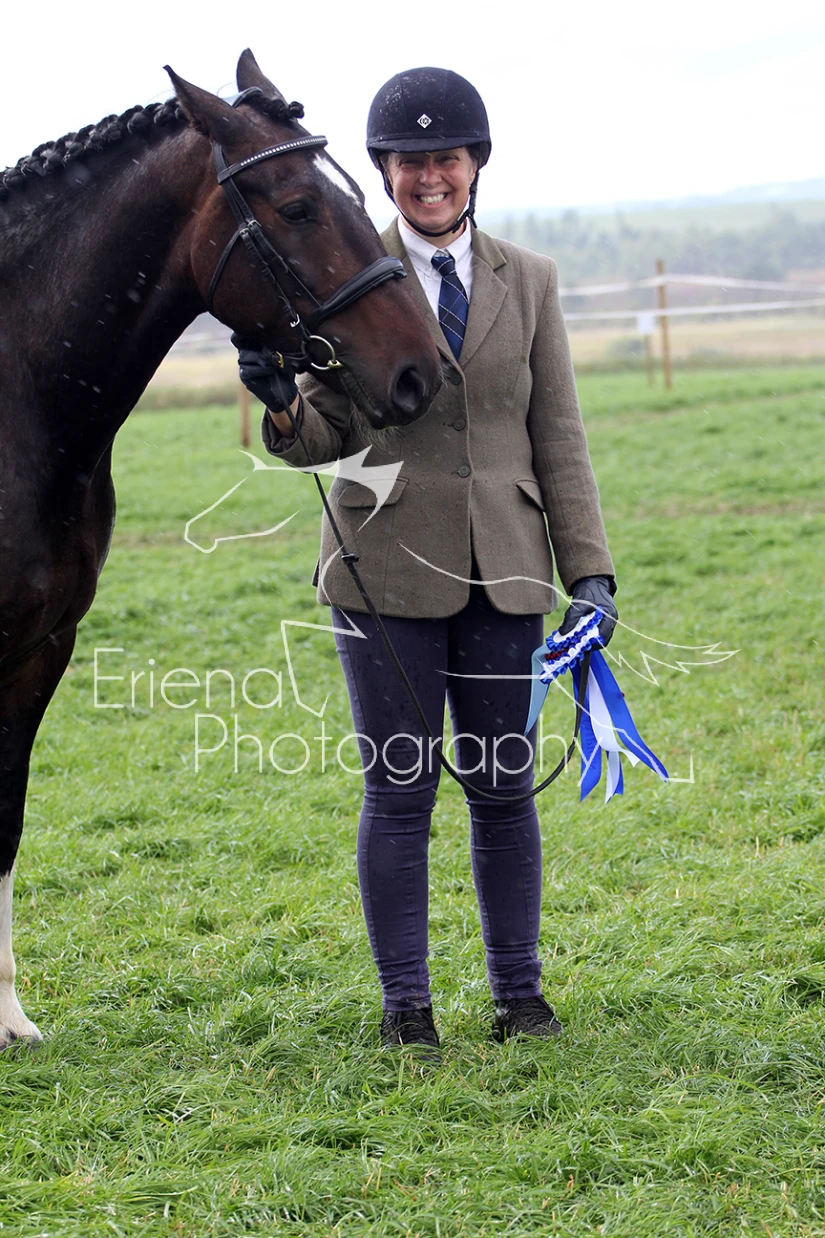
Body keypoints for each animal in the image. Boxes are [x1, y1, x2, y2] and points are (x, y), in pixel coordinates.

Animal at [0, 49, 442, 1047]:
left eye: (354, 190)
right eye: (298, 206)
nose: (422, 370)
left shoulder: (39, 649)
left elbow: (0, 821)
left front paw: (6, 1017)